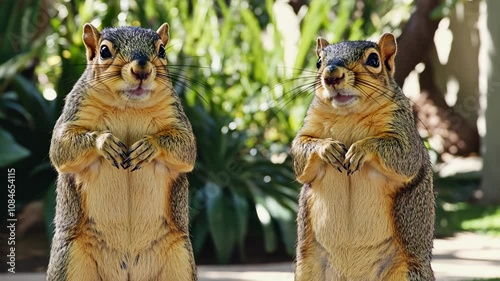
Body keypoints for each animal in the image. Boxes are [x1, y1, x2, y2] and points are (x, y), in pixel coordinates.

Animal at [46, 22, 196, 280]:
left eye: (162, 50)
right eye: (104, 51)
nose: (142, 70)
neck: (129, 106)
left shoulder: (176, 116)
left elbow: (188, 150)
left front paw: (149, 146)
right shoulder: (75, 109)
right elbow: (60, 148)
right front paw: (104, 142)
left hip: (181, 260)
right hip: (69, 259)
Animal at [292, 33, 436, 280]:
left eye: (374, 60)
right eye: (319, 62)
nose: (331, 75)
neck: (349, 115)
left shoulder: (405, 135)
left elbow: (405, 158)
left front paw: (361, 149)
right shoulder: (308, 128)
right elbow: (299, 156)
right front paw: (328, 148)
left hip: (407, 272)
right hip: (306, 269)